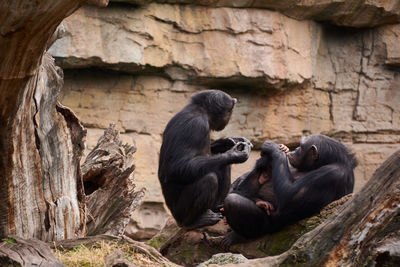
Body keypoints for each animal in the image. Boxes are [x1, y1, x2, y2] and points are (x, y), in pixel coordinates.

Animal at [158, 90, 252, 230]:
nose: (229, 117)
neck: (203, 112)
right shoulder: (196, 126)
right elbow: (176, 167)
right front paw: (235, 154)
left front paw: (228, 141)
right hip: (179, 213)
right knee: (209, 179)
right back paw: (196, 221)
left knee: (222, 166)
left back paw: (218, 207)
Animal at [223, 135, 358, 246]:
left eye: (301, 146)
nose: (296, 148)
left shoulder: (331, 174)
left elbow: (289, 197)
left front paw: (274, 149)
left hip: (268, 227)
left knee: (234, 201)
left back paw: (239, 235)